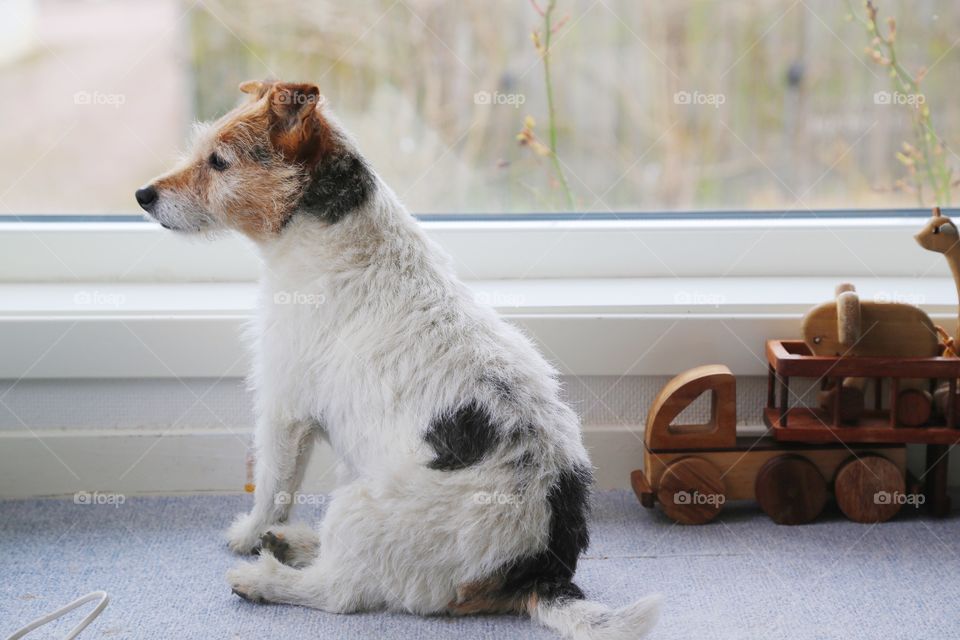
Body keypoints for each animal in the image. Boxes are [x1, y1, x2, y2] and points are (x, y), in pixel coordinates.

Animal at [135, 81, 660, 640]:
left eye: (219, 161)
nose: (142, 196)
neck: (333, 228)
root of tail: (538, 569)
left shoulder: (284, 411)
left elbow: (274, 488)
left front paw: (249, 535)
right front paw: (265, 535)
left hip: (359, 505)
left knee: (338, 590)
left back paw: (264, 577)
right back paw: (294, 543)